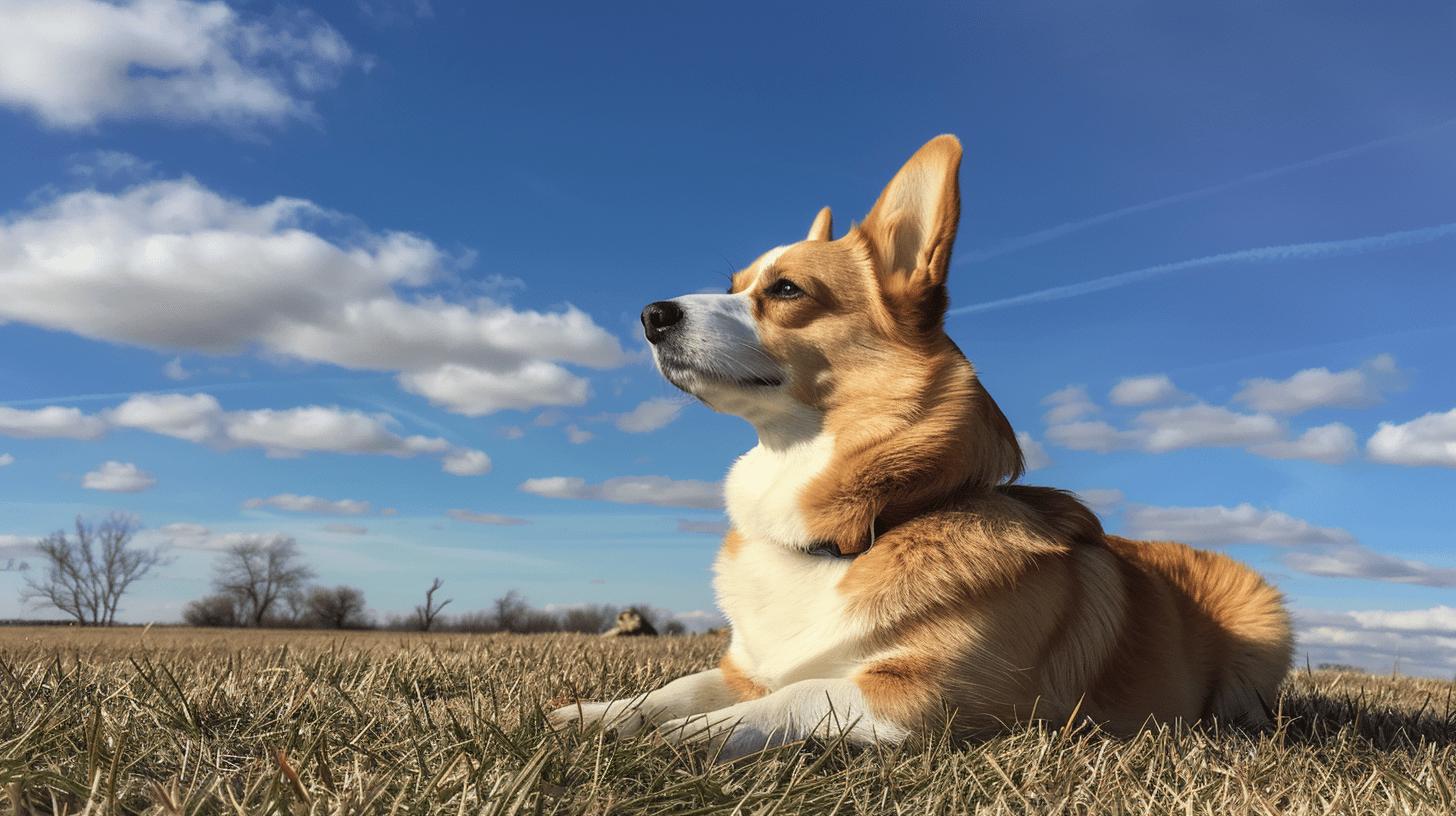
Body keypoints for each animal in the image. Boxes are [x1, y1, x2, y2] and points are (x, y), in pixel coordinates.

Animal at [544, 132, 1287, 757]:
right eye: (734, 286)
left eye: (785, 289)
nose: (650, 315)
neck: (858, 530)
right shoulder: (744, 666)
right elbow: (676, 689)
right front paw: (593, 716)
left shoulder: (935, 697)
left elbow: (793, 696)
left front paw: (687, 736)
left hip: (1263, 615)